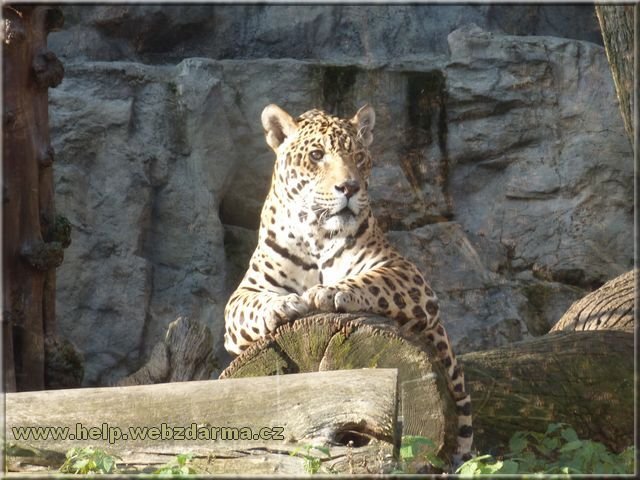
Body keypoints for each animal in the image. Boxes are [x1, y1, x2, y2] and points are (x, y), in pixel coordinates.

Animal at [224, 104, 473, 464]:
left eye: (358, 156)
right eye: (317, 155)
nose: (350, 187)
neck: (315, 232)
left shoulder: (406, 273)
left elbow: (370, 281)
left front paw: (330, 291)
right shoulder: (244, 294)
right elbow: (253, 305)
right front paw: (282, 305)